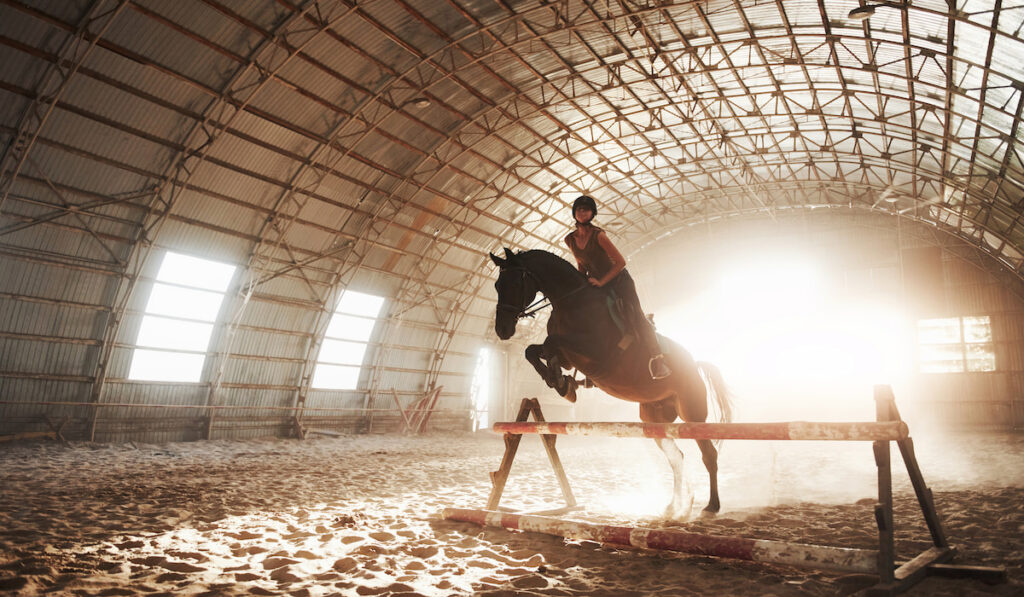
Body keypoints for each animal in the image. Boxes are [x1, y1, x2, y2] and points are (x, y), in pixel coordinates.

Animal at [485, 247, 729, 518]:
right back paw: (676, 505)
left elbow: (551, 343)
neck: (571, 302)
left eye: (515, 282)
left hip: (692, 414)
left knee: (709, 454)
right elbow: (534, 350)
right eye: (497, 284)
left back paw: (711, 506)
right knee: (677, 457)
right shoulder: (570, 356)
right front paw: (561, 382)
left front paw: (561, 382)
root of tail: (694, 364)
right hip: (654, 419)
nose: (502, 329)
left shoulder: (595, 352)